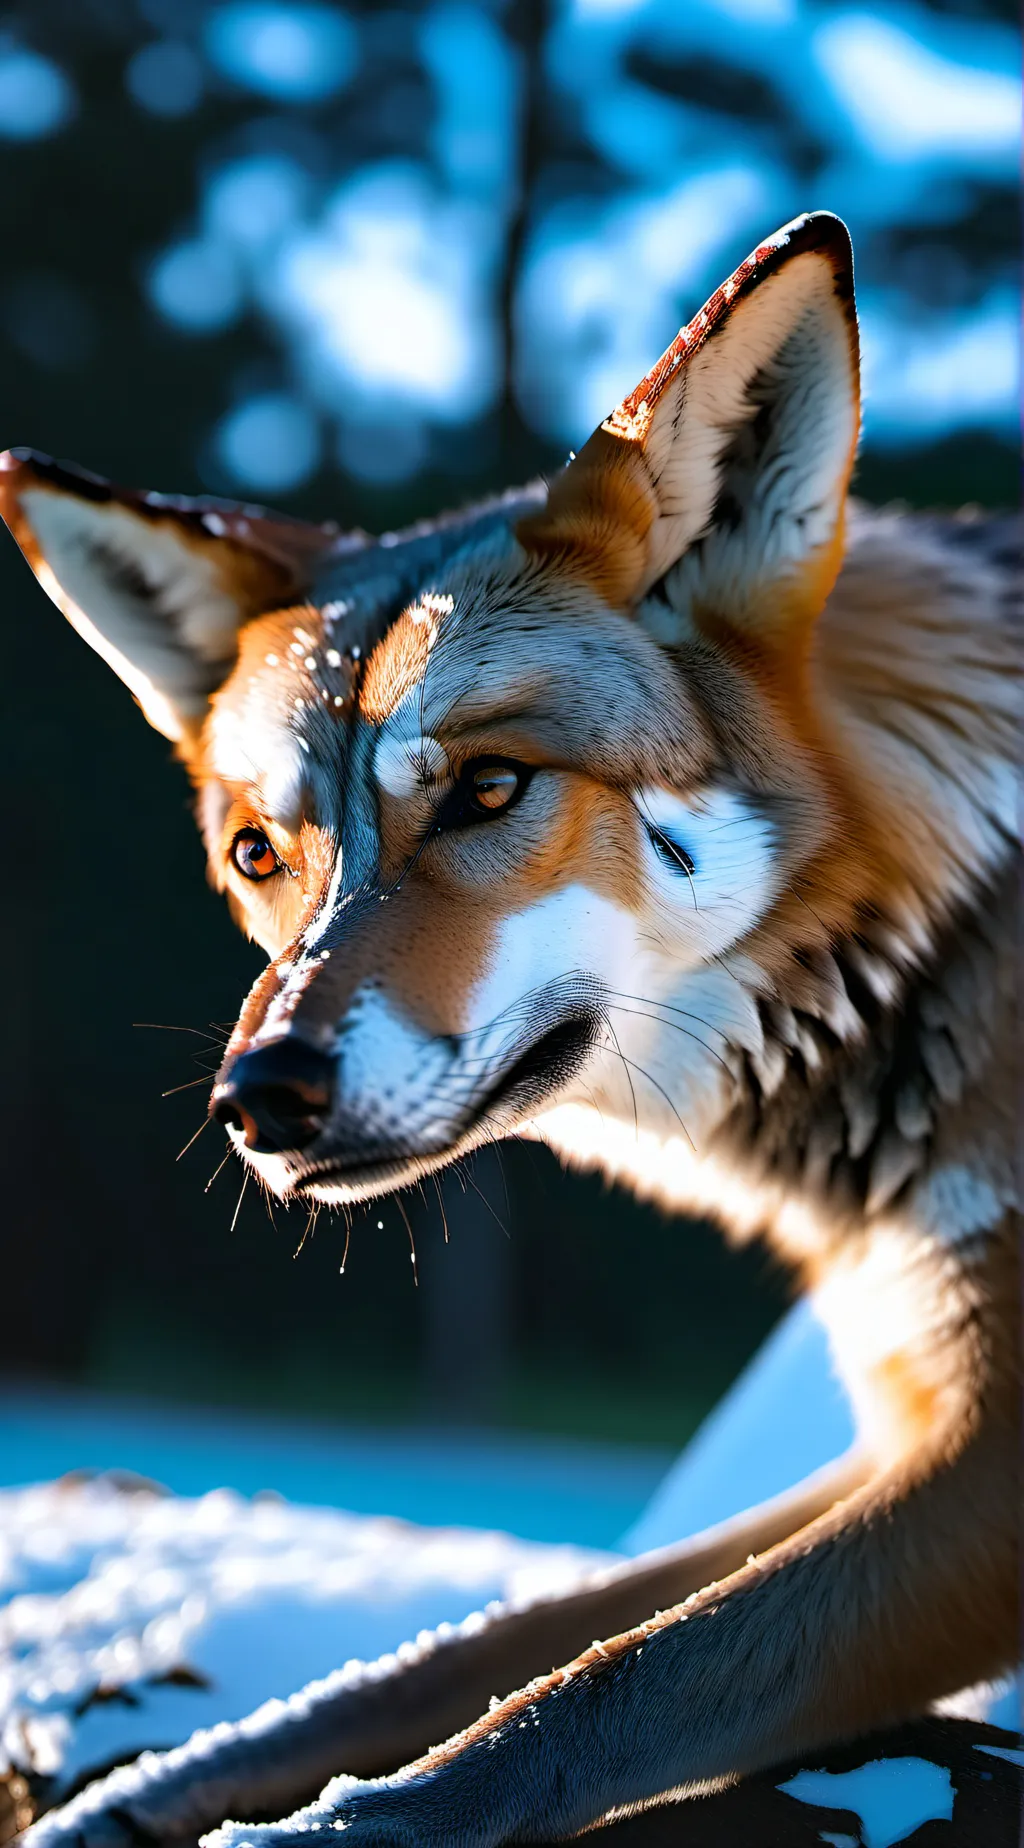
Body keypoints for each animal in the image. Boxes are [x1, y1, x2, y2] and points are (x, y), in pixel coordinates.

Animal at [2, 211, 1019, 1848]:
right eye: (257, 853)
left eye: (489, 788)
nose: (259, 1098)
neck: (942, 936)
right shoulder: (905, 1433)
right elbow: (459, 1658)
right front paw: (140, 1799)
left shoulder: (984, 1463)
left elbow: (606, 1686)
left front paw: (325, 1833)